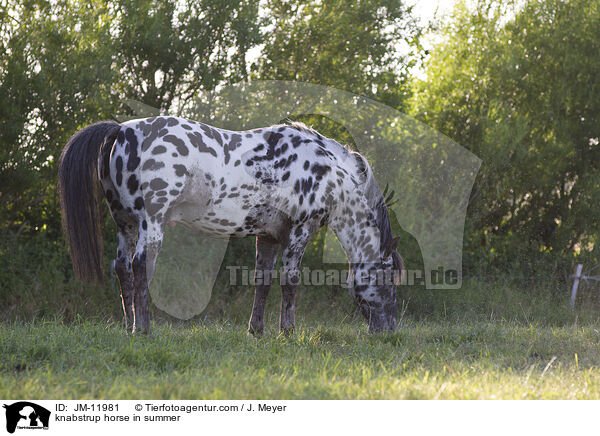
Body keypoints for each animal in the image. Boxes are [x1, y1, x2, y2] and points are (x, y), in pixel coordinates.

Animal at [58, 115, 406, 334]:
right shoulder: (299, 232)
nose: (388, 331)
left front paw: (257, 330)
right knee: (140, 267)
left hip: (125, 224)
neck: (328, 170)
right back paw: (143, 329)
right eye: (389, 279)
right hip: (150, 224)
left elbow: (262, 282)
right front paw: (288, 332)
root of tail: (121, 131)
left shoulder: (269, 236)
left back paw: (129, 326)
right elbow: (290, 283)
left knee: (123, 270)